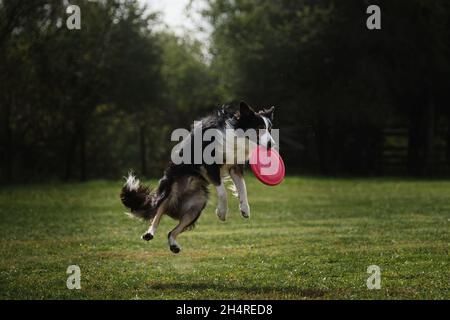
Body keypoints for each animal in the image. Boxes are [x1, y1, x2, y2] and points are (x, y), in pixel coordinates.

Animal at [119, 101, 274, 254]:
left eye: (270, 129)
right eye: (259, 127)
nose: (271, 144)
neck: (235, 135)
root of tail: (175, 208)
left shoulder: (235, 167)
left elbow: (242, 187)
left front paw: (245, 209)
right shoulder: (209, 165)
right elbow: (222, 191)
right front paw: (222, 212)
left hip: (196, 207)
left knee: (171, 231)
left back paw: (173, 245)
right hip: (170, 191)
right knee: (157, 214)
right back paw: (150, 232)